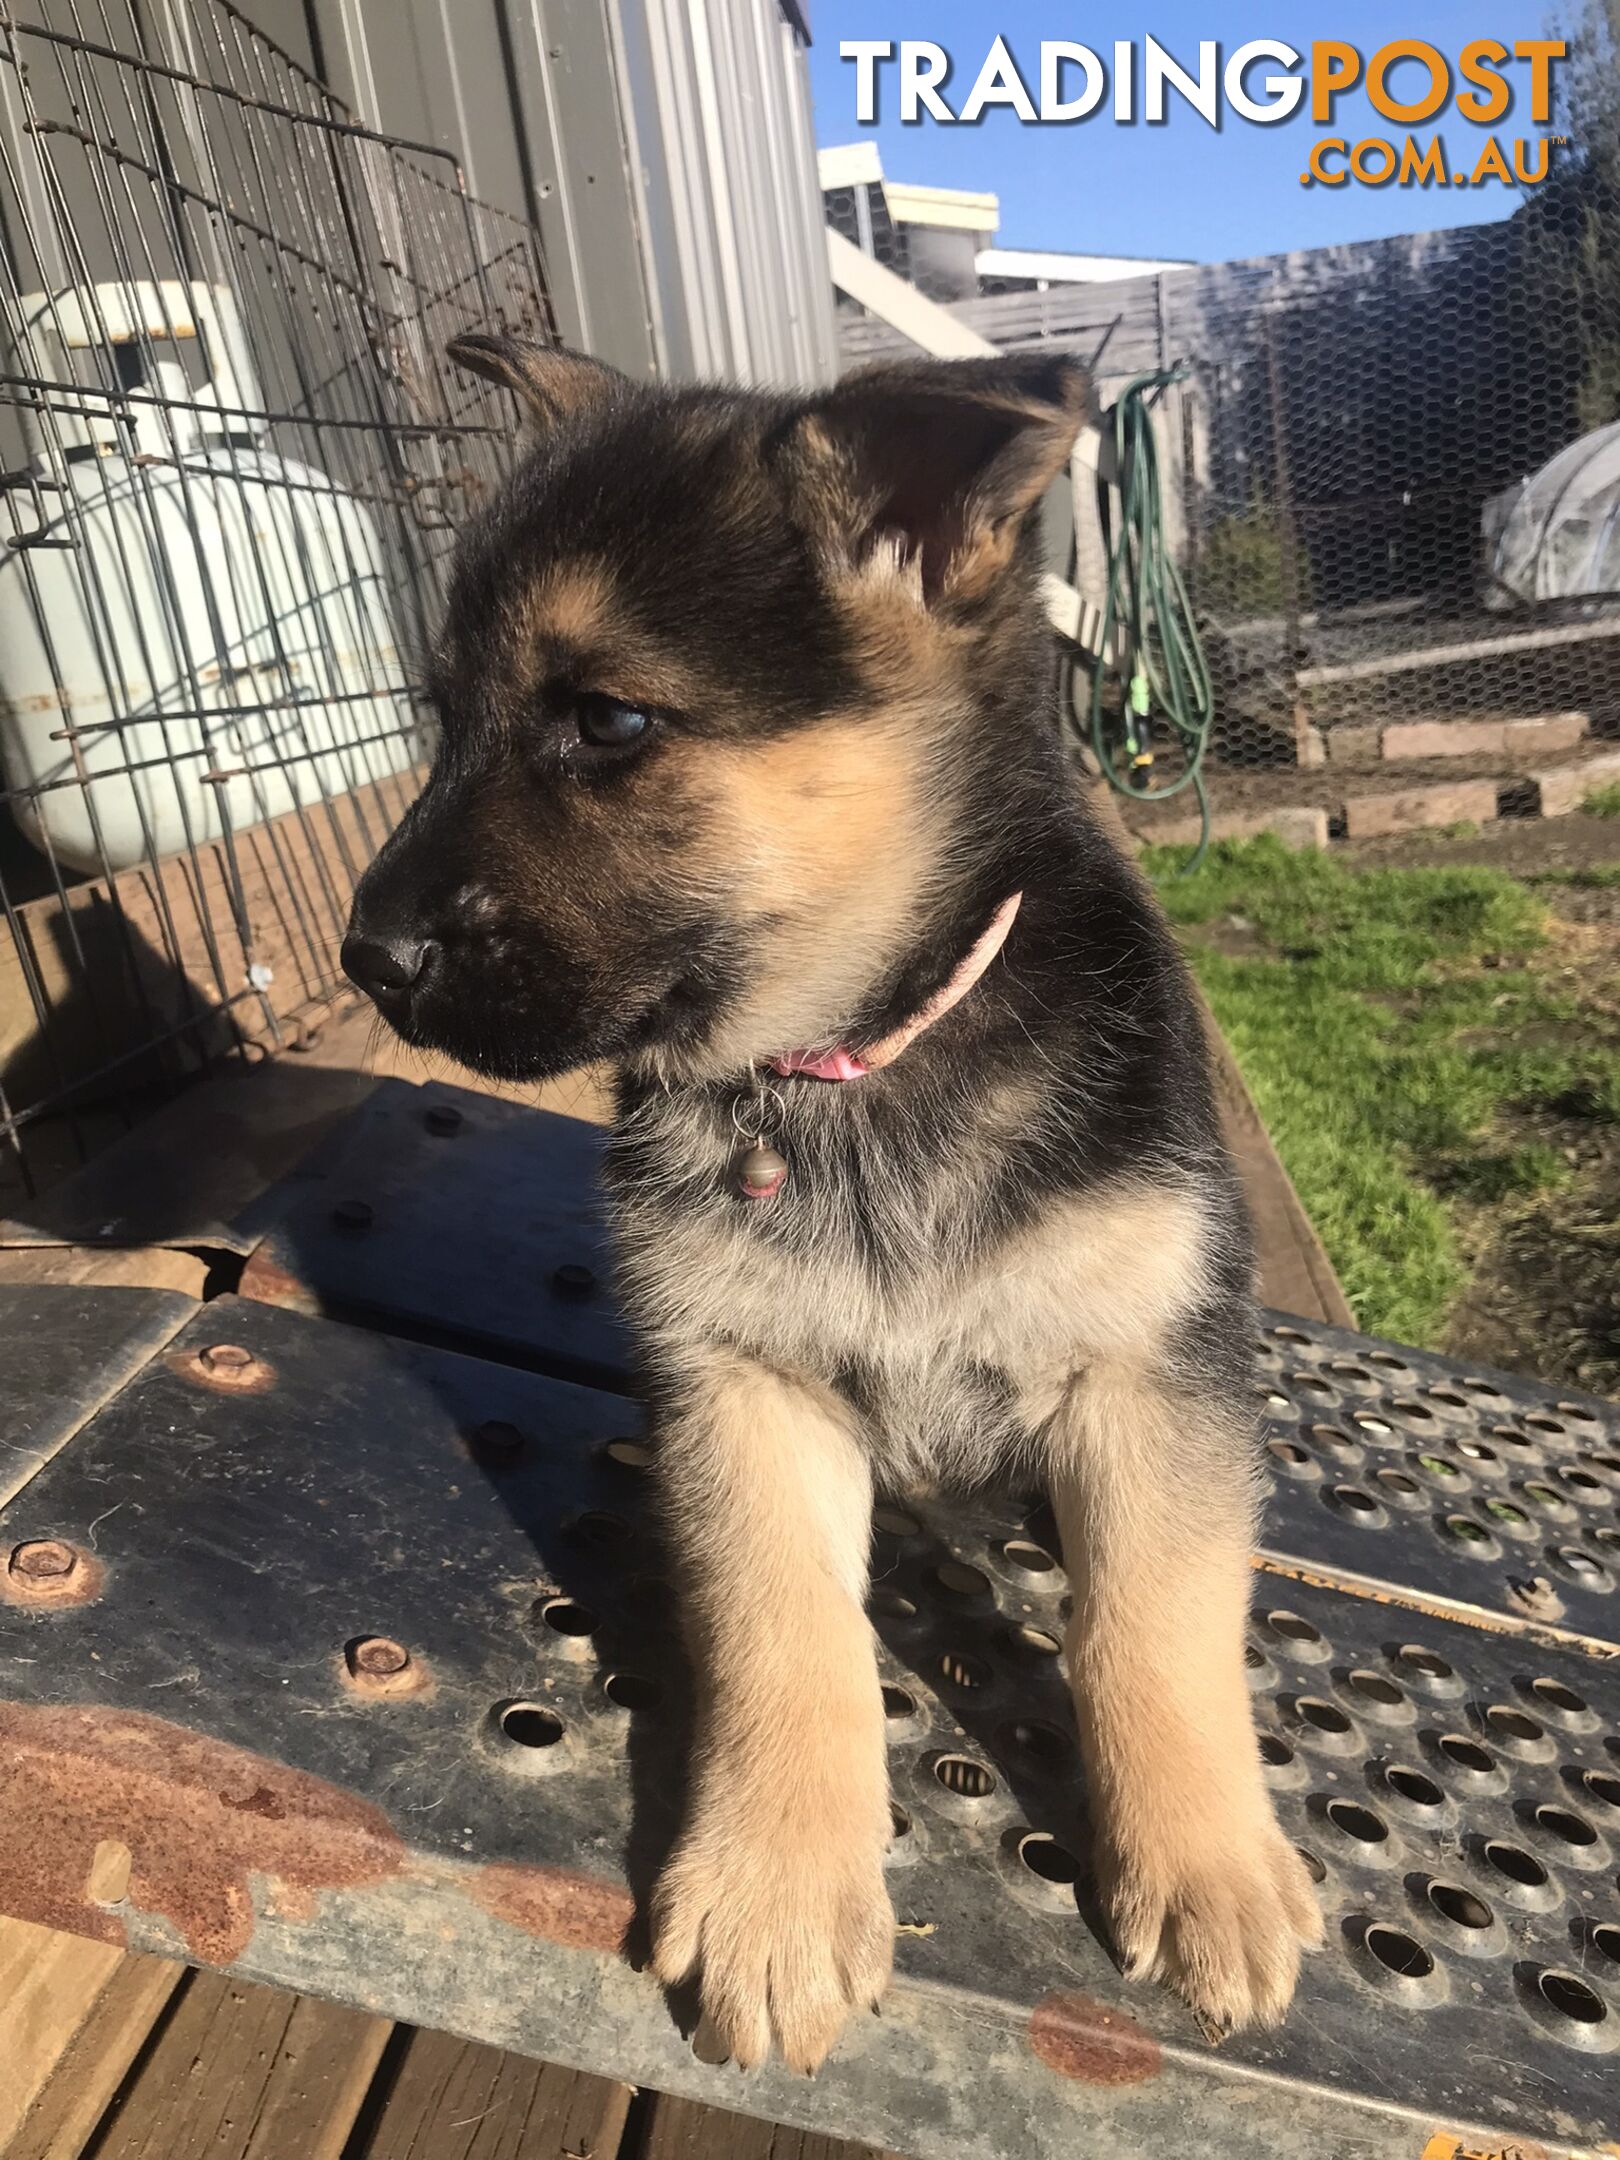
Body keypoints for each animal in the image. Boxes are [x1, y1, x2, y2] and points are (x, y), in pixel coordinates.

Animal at [343, 336, 1321, 2073]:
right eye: (444, 720)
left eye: (609, 721)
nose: (363, 956)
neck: (862, 1062)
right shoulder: (745, 1387)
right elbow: (784, 1634)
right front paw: (781, 1892)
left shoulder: (1151, 1368)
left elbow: (1156, 1620)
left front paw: (1206, 1860)